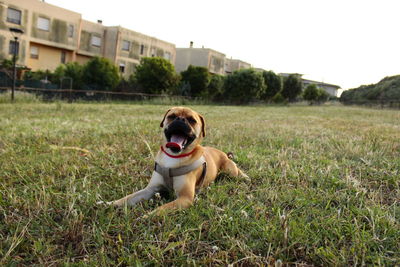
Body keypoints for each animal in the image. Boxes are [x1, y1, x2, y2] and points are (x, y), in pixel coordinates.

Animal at [105, 107, 247, 214]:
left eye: (192, 120)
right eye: (172, 116)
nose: (180, 119)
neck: (173, 157)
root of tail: (223, 153)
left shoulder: (185, 198)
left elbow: (161, 209)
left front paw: (146, 217)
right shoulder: (150, 190)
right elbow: (127, 198)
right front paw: (109, 203)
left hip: (230, 171)